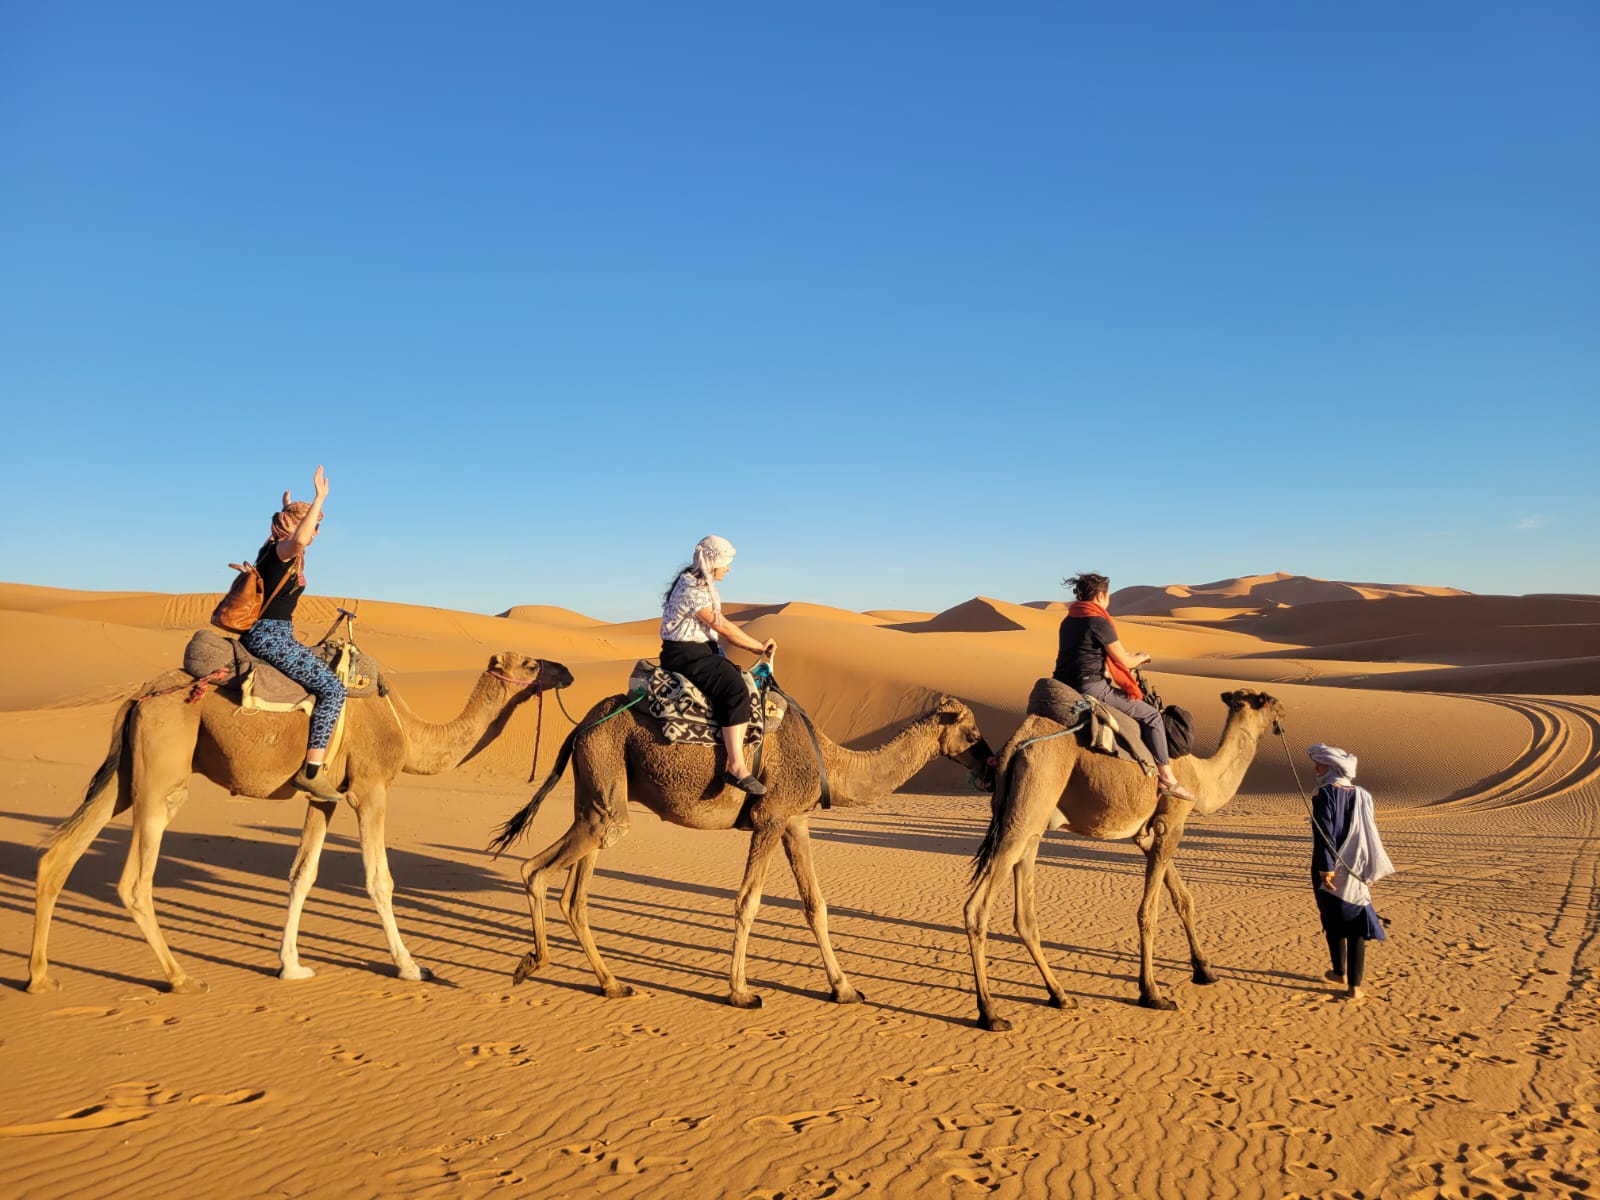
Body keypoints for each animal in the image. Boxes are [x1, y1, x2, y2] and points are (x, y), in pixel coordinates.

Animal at [28, 650, 574, 994]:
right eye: (530, 663)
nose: (565, 671)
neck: (408, 730)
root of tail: (139, 697)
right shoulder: (369, 790)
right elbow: (379, 880)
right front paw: (412, 966)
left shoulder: (324, 796)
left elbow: (302, 875)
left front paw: (290, 966)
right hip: (163, 775)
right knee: (135, 883)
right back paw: (181, 978)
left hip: (125, 777)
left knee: (59, 855)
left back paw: (39, 976)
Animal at [488, 693, 994, 1008]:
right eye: (971, 733)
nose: (992, 765)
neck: (830, 761)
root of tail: (580, 727)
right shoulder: (770, 817)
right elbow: (748, 902)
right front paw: (740, 992)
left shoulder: (795, 821)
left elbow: (816, 905)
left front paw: (845, 989)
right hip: (604, 781)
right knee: (535, 870)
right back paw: (533, 962)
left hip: (599, 793)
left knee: (574, 893)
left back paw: (612, 984)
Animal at [964, 688, 1285, 1030]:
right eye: (1266, 700)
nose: (1283, 710)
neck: (1201, 778)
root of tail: (1015, 745)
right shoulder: (1171, 821)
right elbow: (1149, 912)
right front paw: (1152, 993)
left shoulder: (1145, 834)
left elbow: (1183, 898)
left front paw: (1204, 970)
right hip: (1031, 799)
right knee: (977, 909)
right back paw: (990, 1013)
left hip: (1030, 821)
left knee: (1024, 915)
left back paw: (1060, 996)